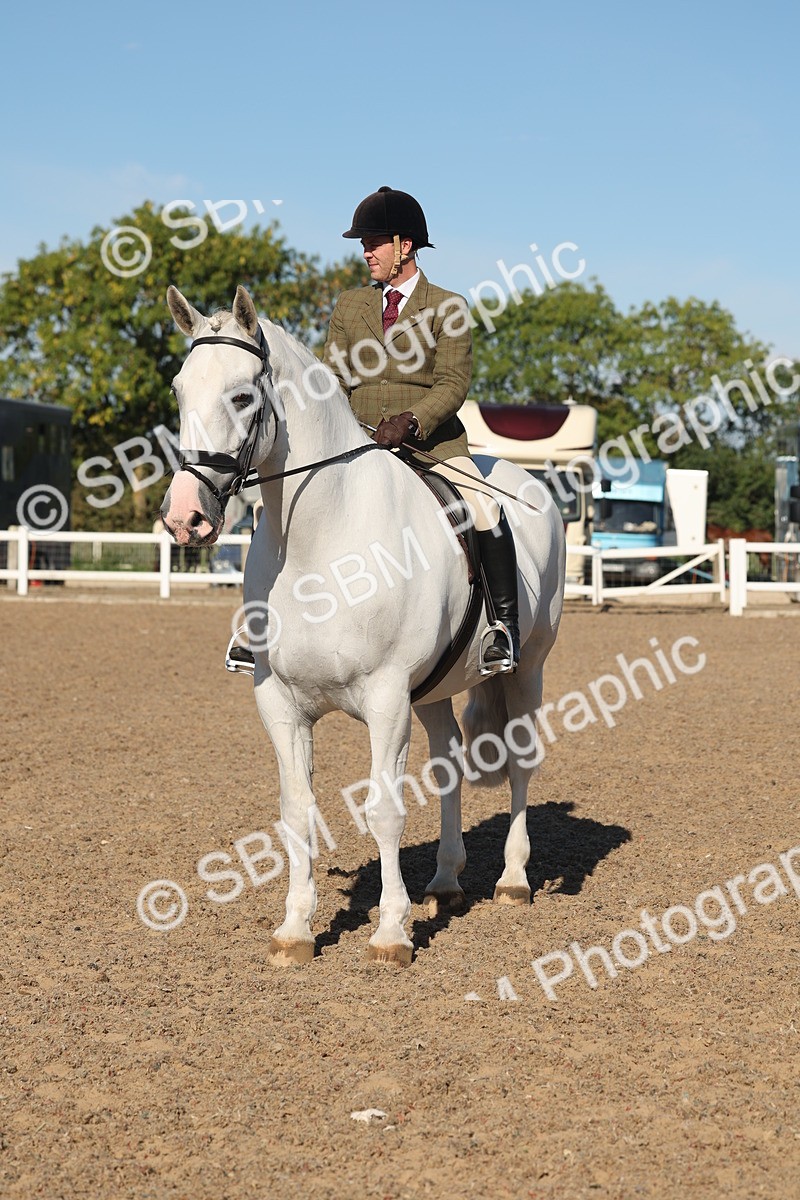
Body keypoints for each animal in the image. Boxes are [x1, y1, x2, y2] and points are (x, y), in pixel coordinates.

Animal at [160, 285, 566, 966]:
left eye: (243, 396)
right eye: (179, 390)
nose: (185, 518)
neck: (321, 542)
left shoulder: (385, 698)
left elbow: (385, 811)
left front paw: (391, 933)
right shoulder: (280, 702)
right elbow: (296, 810)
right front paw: (296, 930)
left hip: (526, 669)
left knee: (520, 761)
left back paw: (512, 879)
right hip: (432, 691)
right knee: (449, 763)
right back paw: (446, 881)